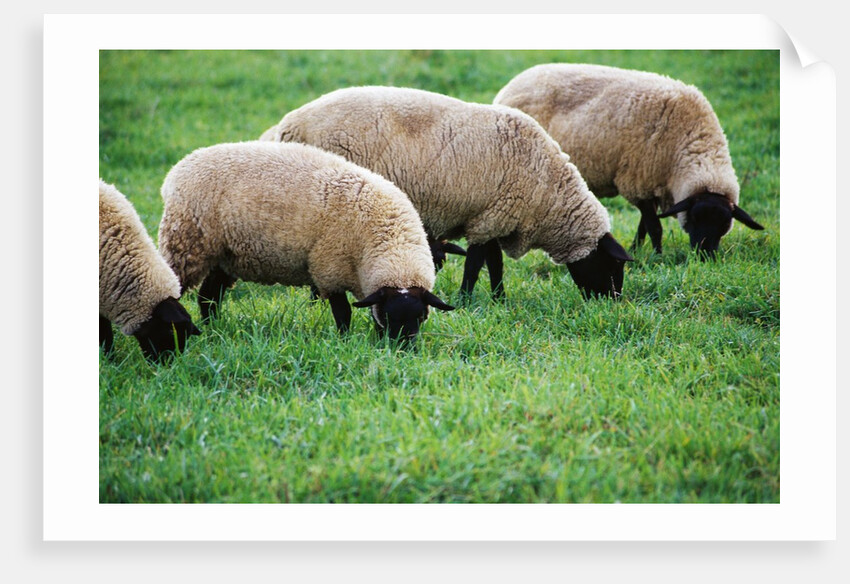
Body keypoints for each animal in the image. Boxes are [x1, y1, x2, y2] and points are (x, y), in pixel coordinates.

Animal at [157, 141, 455, 343]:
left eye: (421, 316)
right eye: (393, 317)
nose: (404, 349)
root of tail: (179, 169)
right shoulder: (330, 269)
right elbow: (343, 313)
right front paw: (344, 341)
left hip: (225, 255)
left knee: (209, 296)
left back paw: (215, 328)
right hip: (187, 243)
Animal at [259, 85, 633, 301]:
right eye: (615, 265)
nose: (612, 302)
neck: (548, 191)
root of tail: (288, 125)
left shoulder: (490, 215)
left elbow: (493, 263)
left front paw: (498, 298)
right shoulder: (491, 218)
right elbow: (477, 264)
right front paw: (468, 300)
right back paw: (317, 299)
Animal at [493, 63, 764, 258]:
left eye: (725, 224)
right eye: (696, 218)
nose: (705, 256)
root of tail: (509, 87)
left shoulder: (651, 185)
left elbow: (644, 225)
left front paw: (636, 250)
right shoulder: (637, 181)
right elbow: (654, 226)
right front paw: (657, 256)